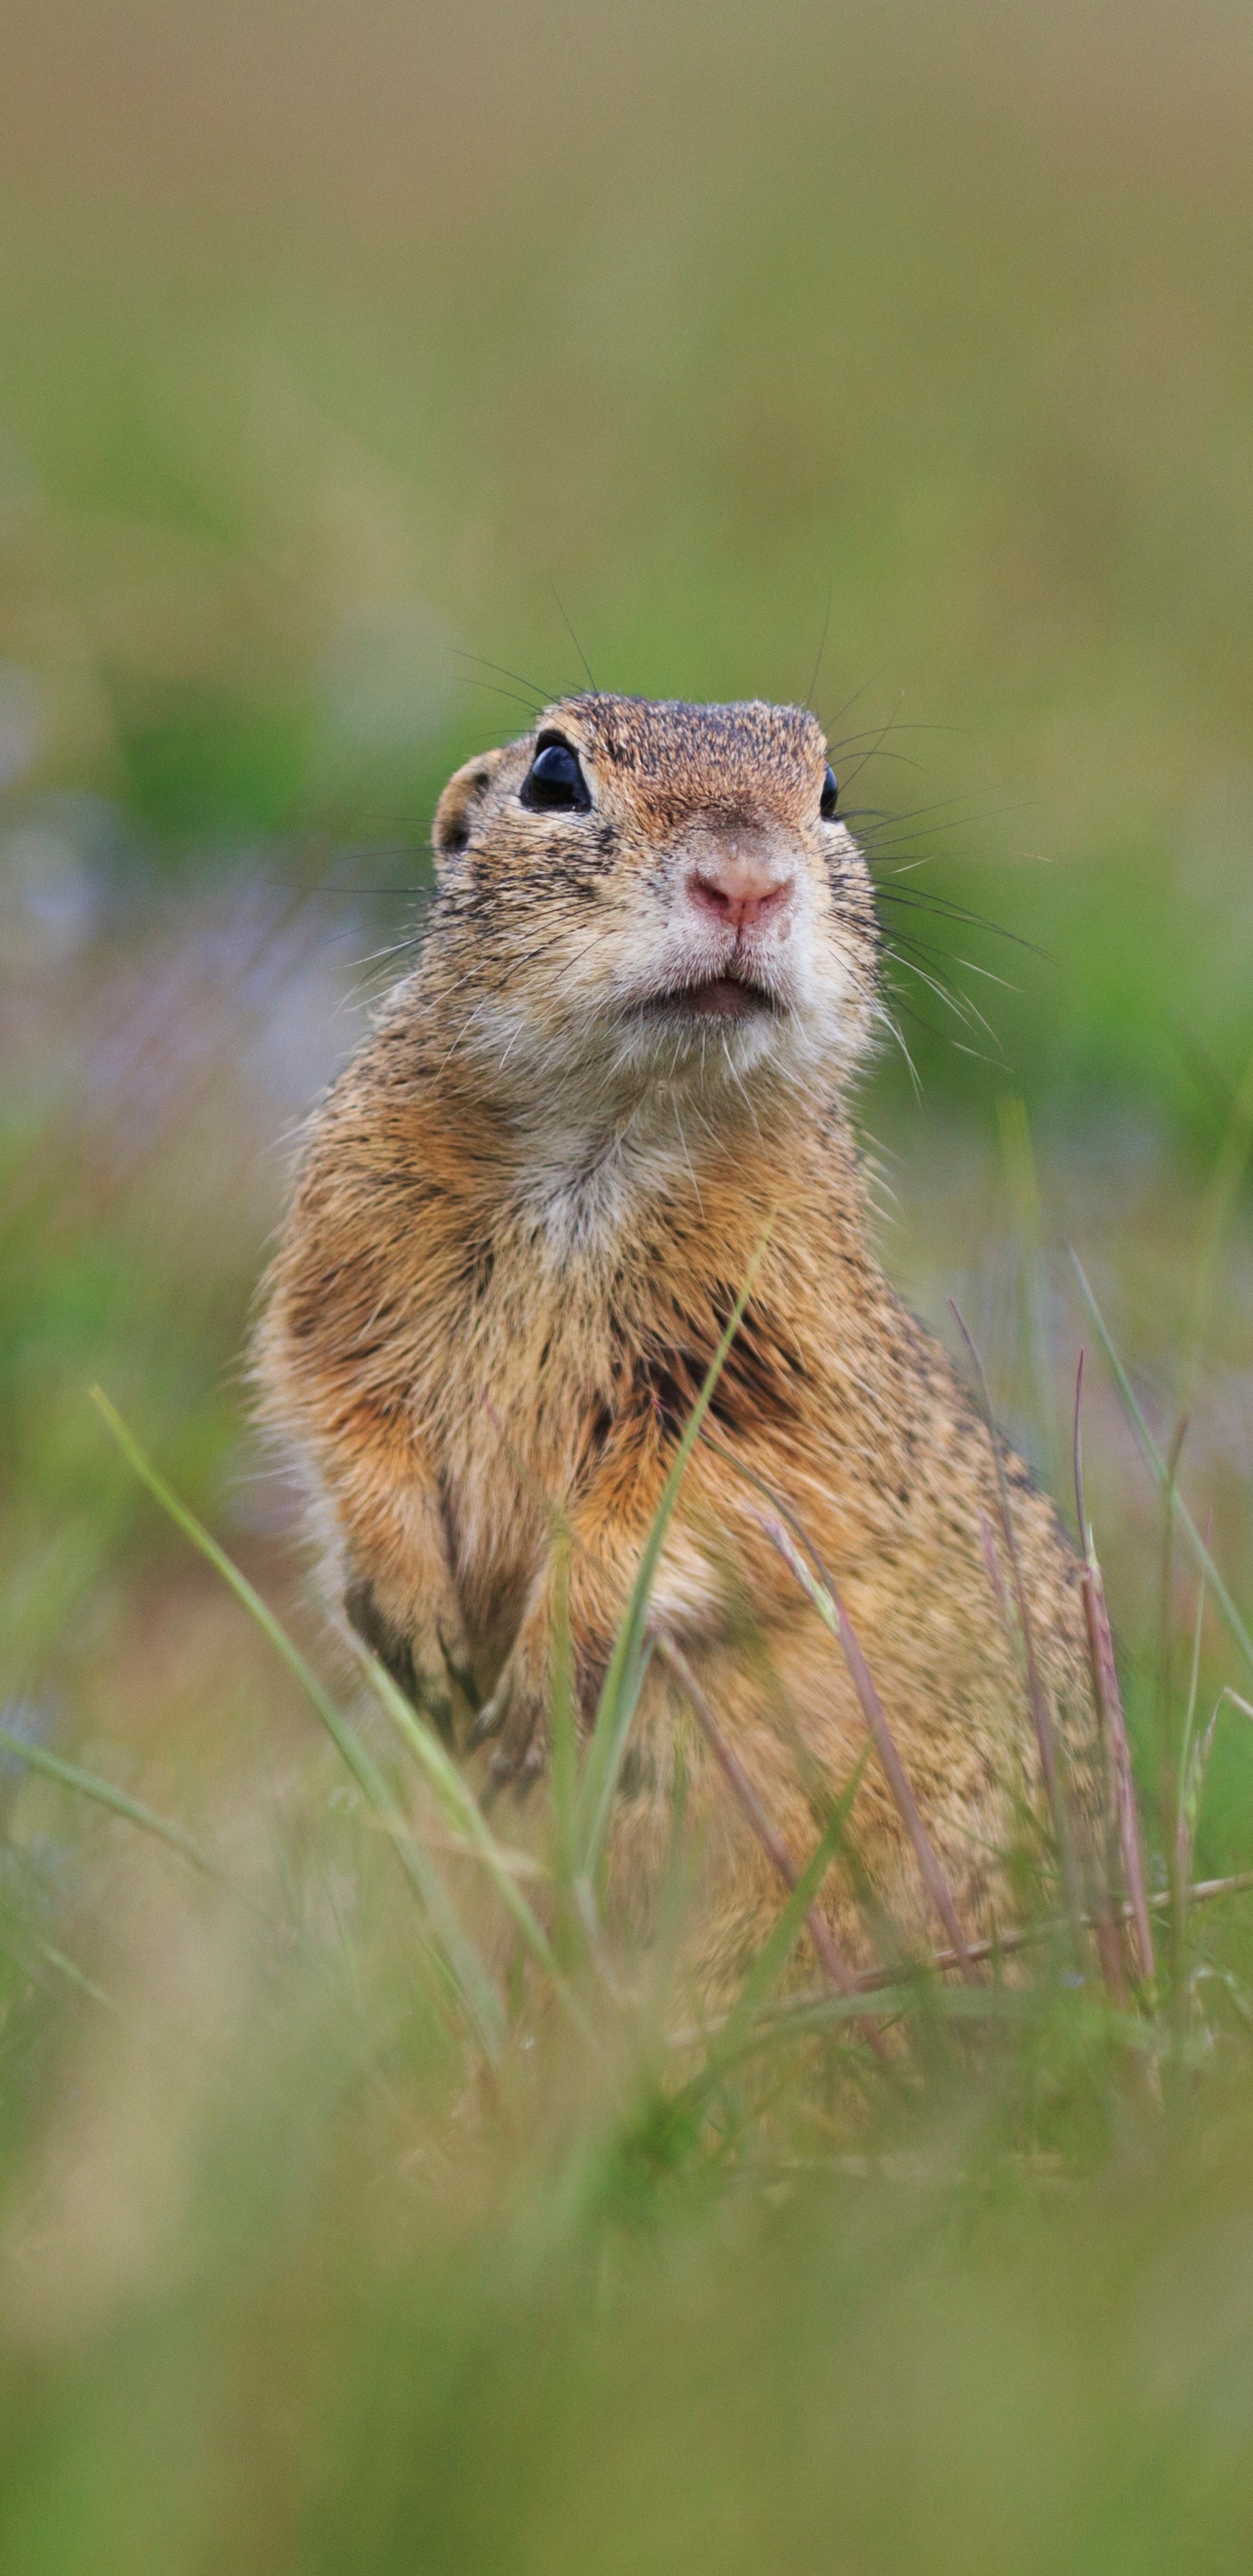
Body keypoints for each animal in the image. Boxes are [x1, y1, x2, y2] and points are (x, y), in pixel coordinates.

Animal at [261, 701, 1098, 1989]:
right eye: (554, 773)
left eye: (829, 792)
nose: (746, 882)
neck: (611, 1131)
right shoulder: (343, 1261)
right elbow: (342, 1410)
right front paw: (419, 1633)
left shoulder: (788, 1359)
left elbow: (713, 1494)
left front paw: (541, 1684)